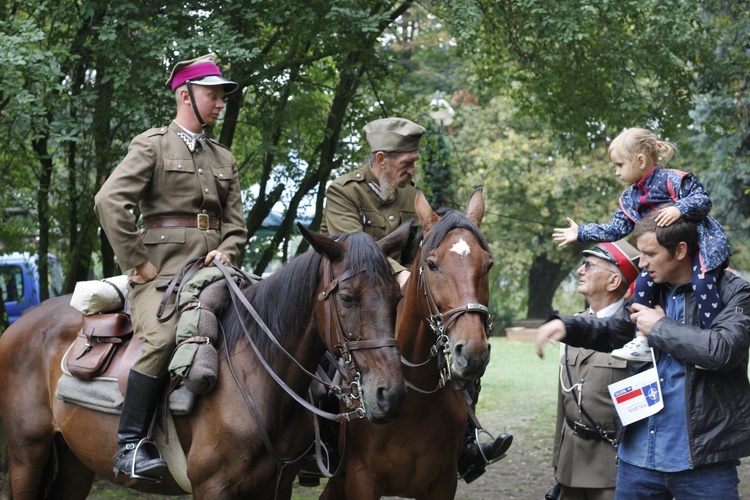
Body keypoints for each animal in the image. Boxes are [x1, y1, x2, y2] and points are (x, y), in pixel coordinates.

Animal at [0, 227, 412, 500]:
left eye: (398, 296)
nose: (390, 394)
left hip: (74, 464)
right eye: (346, 297)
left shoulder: (274, 486)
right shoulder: (213, 486)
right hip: (27, 455)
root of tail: (18, 326)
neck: (256, 373)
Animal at [324, 188, 494, 500]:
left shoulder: (442, 484)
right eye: (432, 264)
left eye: (488, 265)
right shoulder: (361, 480)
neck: (415, 403)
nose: (473, 351)